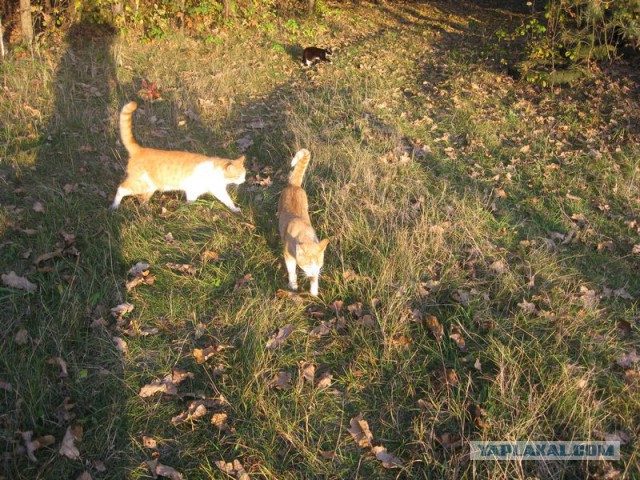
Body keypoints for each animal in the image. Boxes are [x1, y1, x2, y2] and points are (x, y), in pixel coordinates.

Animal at [110, 101, 245, 212]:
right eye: (238, 176)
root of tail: (140, 149)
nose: (243, 181)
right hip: (139, 183)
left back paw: (146, 211)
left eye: (244, 175)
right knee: (121, 188)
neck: (217, 172)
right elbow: (191, 202)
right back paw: (114, 207)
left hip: (149, 187)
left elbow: (227, 201)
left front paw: (234, 209)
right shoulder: (195, 189)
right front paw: (187, 210)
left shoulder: (214, 191)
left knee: (142, 199)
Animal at [278, 148, 330, 294]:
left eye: (318, 265)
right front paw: (293, 284)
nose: (313, 273)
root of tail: (294, 185)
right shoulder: (288, 255)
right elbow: (292, 271)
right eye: (307, 265)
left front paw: (314, 289)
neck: (304, 234)